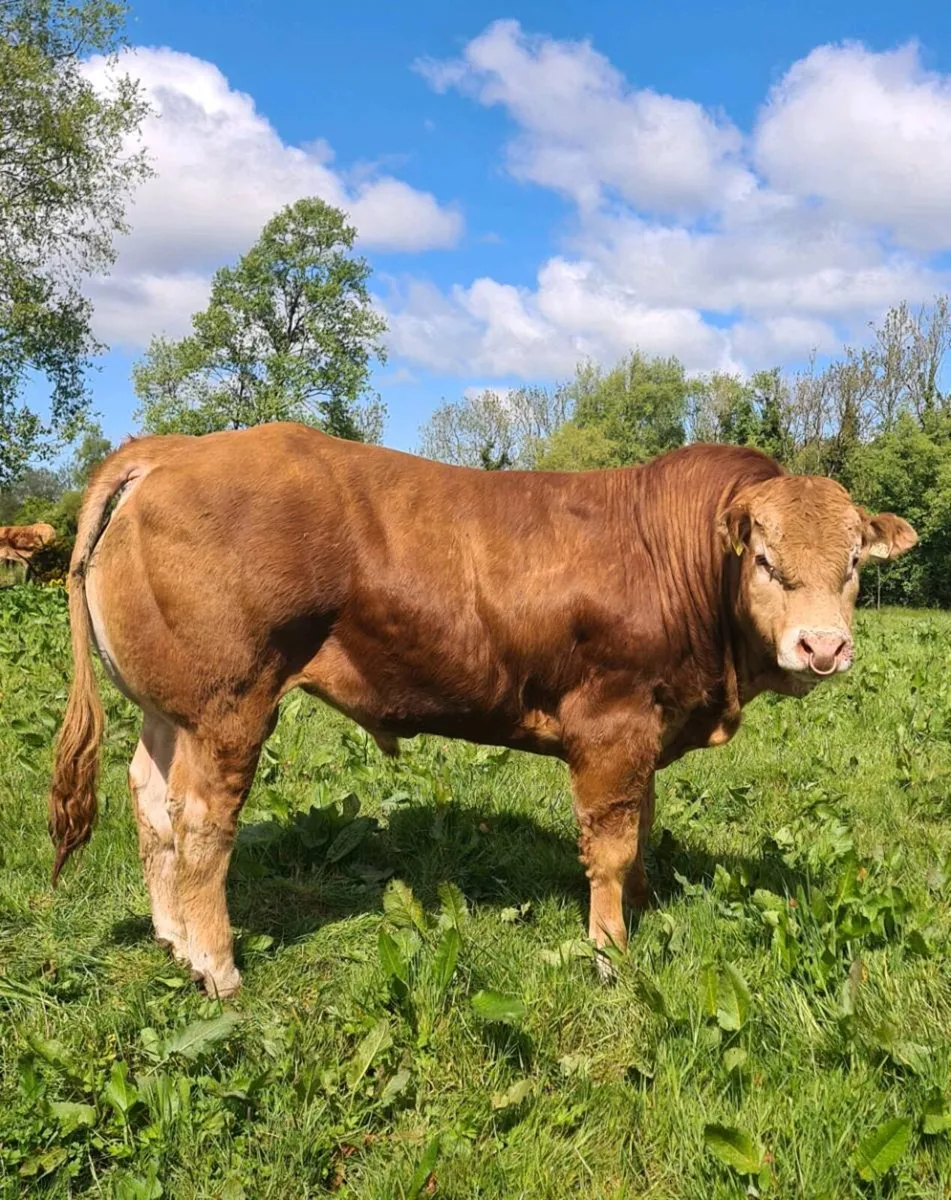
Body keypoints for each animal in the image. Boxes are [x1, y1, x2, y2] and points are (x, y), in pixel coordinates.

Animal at [48, 424, 917, 997]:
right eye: (765, 561)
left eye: (851, 563)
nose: (822, 646)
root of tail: (176, 447)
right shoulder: (610, 722)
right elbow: (610, 844)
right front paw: (609, 950)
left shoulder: (650, 722)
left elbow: (640, 824)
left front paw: (641, 907)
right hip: (229, 704)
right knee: (201, 824)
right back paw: (219, 968)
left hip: (171, 710)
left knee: (151, 804)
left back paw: (174, 940)